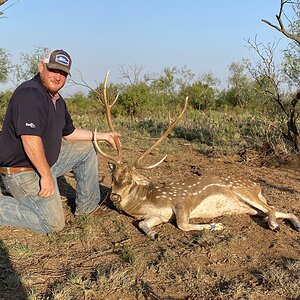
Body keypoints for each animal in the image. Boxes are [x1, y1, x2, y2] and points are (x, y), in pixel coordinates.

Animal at [94, 71, 300, 239]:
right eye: (113, 176)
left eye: (130, 180)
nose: (114, 197)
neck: (144, 202)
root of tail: (257, 186)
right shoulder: (157, 215)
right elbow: (142, 224)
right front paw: (153, 233)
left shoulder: (181, 201)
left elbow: (182, 224)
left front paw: (217, 225)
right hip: (249, 208)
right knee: (277, 210)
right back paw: (295, 224)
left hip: (243, 191)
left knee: (271, 208)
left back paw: (274, 225)